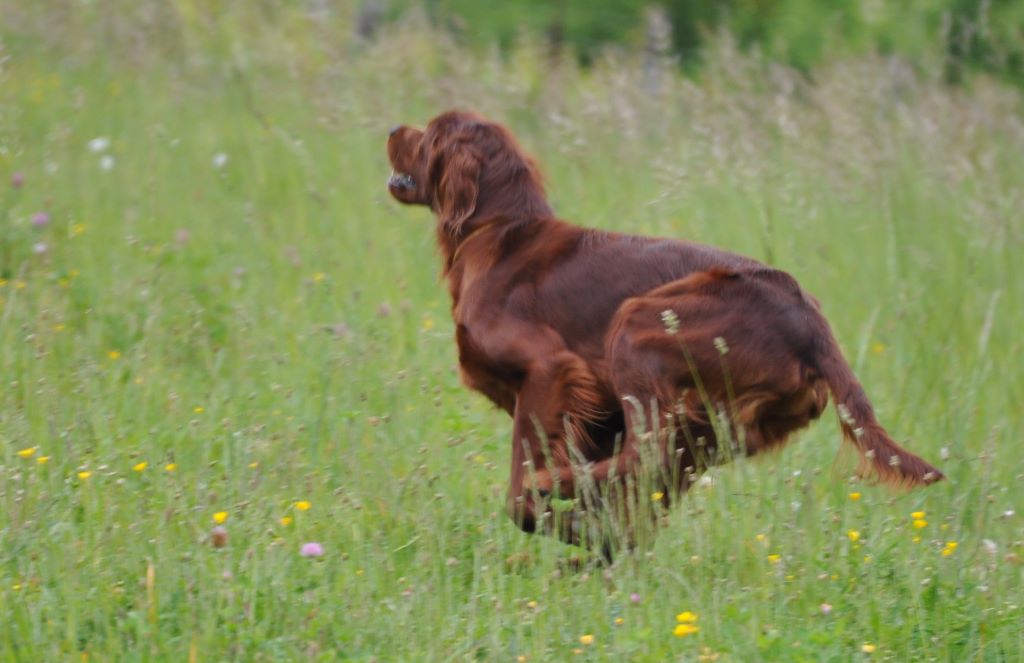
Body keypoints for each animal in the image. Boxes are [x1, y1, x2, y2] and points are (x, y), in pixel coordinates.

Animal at [385, 111, 942, 549]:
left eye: (430, 131)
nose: (392, 129)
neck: (497, 232)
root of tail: (812, 325)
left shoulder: (548, 371)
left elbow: (523, 489)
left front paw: (552, 509)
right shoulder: (595, 417)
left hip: (638, 325)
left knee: (643, 458)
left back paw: (560, 494)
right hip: (709, 425)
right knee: (650, 484)